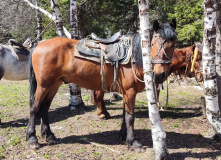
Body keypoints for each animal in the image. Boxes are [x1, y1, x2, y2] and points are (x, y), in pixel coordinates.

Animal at [26, 20, 177, 149]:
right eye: (152, 44)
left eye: (173, 45)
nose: (159, 75)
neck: (135, 58)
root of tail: (39, 45)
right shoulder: (130, 92)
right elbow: (130, 117)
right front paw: (132, 141)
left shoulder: (126, 93)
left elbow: (125, 115)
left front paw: (123, 136)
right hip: (44, 85)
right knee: (34, 107)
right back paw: (32, 139)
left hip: (54, 84)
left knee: (45, 107)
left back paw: (49, 135)